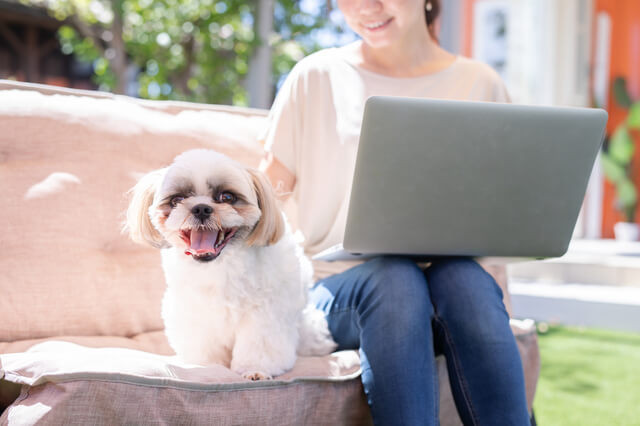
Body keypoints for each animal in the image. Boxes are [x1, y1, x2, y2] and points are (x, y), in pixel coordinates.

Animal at [124, 149, 336, 380]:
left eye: (226, 197)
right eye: (178, 199)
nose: (201, 208)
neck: (221, 265)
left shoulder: (265, 313)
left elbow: (259, 345)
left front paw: (255, 370)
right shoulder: (196, 313)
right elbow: (205, 347)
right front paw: (208, 366)